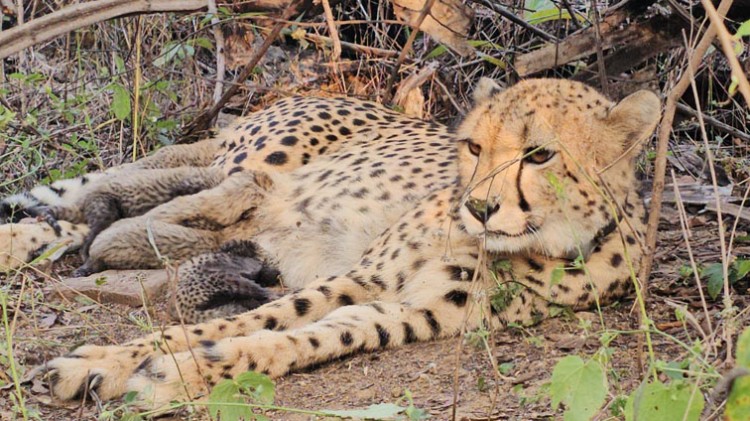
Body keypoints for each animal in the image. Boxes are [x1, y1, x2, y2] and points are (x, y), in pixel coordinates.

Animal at [19, 78, 660, 410]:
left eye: (540, 154)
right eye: (475, 147)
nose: (477, 207)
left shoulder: (413, 311)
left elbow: (305, 337)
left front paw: (181, 372)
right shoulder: (365, 274)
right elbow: (246, 319)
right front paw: (108, 361)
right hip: (255, 164)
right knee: (88, 206)